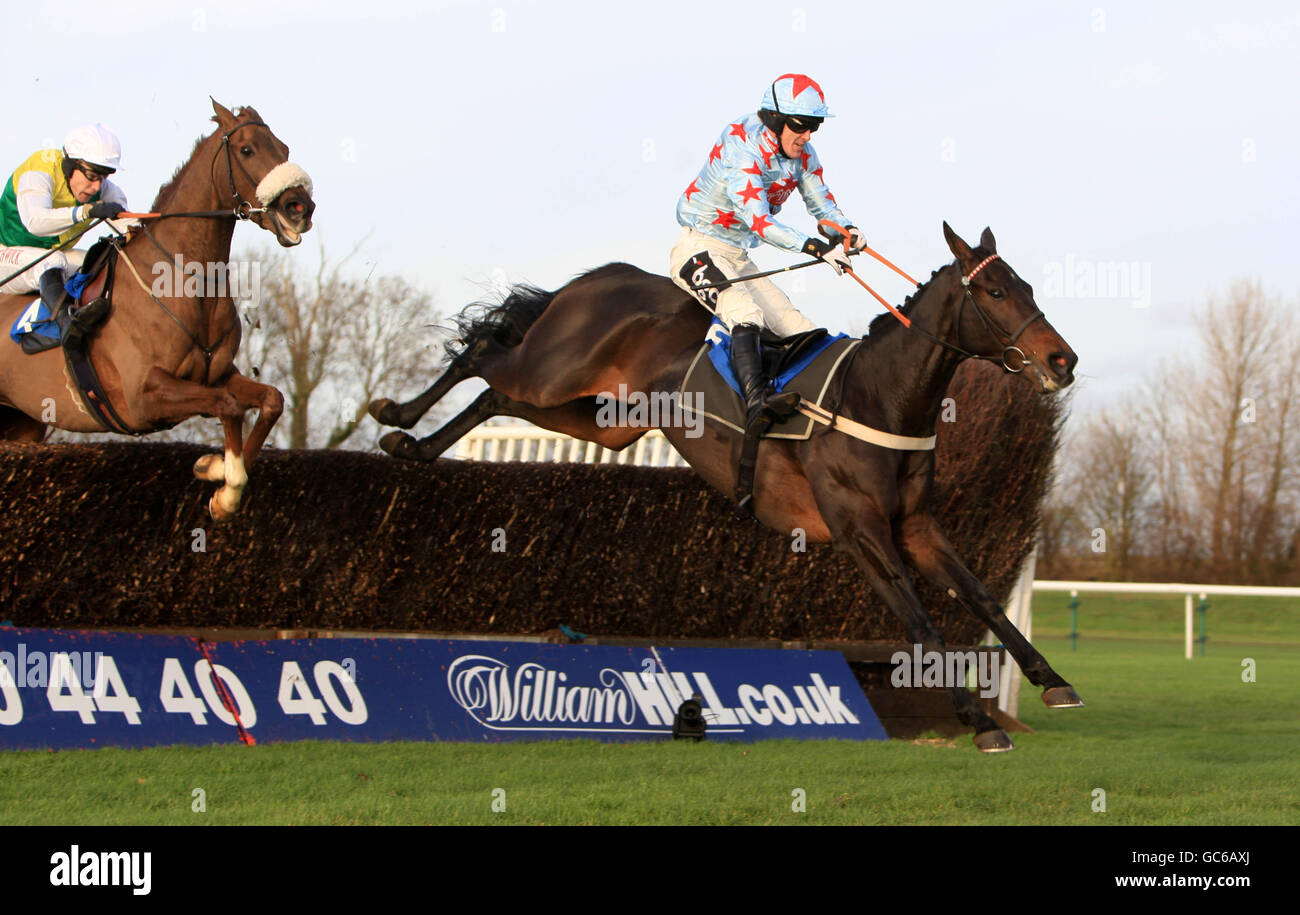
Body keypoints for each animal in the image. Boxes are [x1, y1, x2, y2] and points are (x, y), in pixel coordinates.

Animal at [0, 98, 313, 522]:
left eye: (284, 149)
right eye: (247, 149)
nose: (301, 207)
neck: (185, 284)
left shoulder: (216, 375)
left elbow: (271, 400)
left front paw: (216, 470)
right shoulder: (141, 398)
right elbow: (228, 406)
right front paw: (226, 489)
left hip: (21, 424)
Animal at [371, 223, 1081, 748]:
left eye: (1026, 286)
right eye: (995, 293)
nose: (1063, 359)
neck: (880, 398)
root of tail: (605, 276)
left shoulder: (916, 528)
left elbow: (982, 597)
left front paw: (1052, 681)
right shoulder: (860, 532)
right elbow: (922, 623)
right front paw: (981, 722)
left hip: (603, 420)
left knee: (495, 395)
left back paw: (415, 445)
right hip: (553, 371)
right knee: (483, 355)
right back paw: (395, 415)